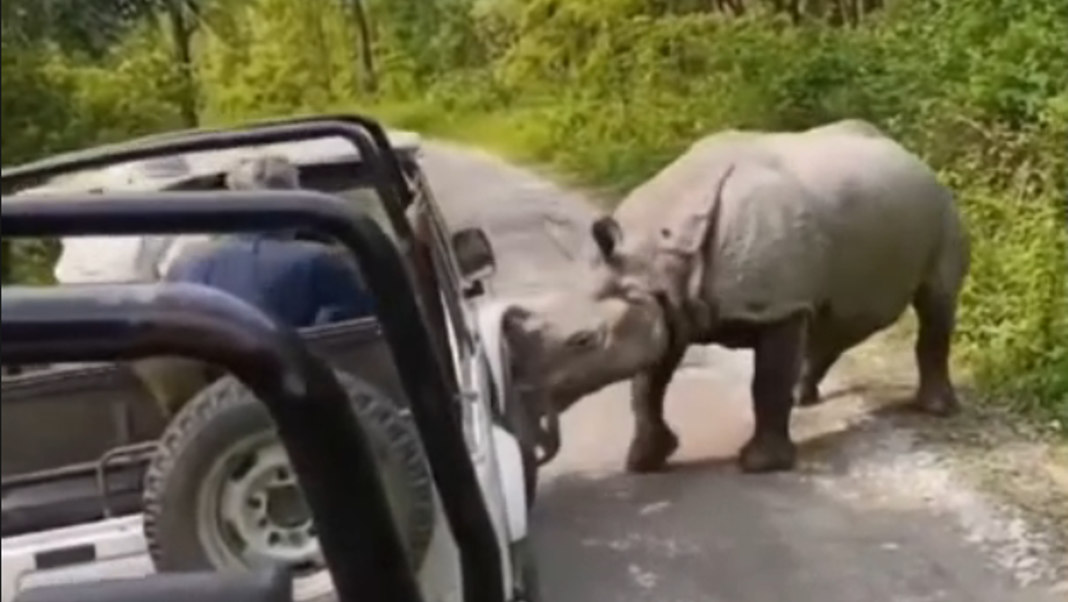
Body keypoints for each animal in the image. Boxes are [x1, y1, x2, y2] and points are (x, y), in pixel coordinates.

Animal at [502, 119, 970, 473]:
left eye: (583, 341)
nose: (525, 397)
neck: (654, 257)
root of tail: (911, 155)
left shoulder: (775, 307)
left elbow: (765, 381)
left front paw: (761, 465)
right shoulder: (668, 304)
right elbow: (647, 385)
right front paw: (644, 461)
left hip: (944, 205)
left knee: (935, 302)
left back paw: (937, 409)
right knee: (833, 316)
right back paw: (803, 399)